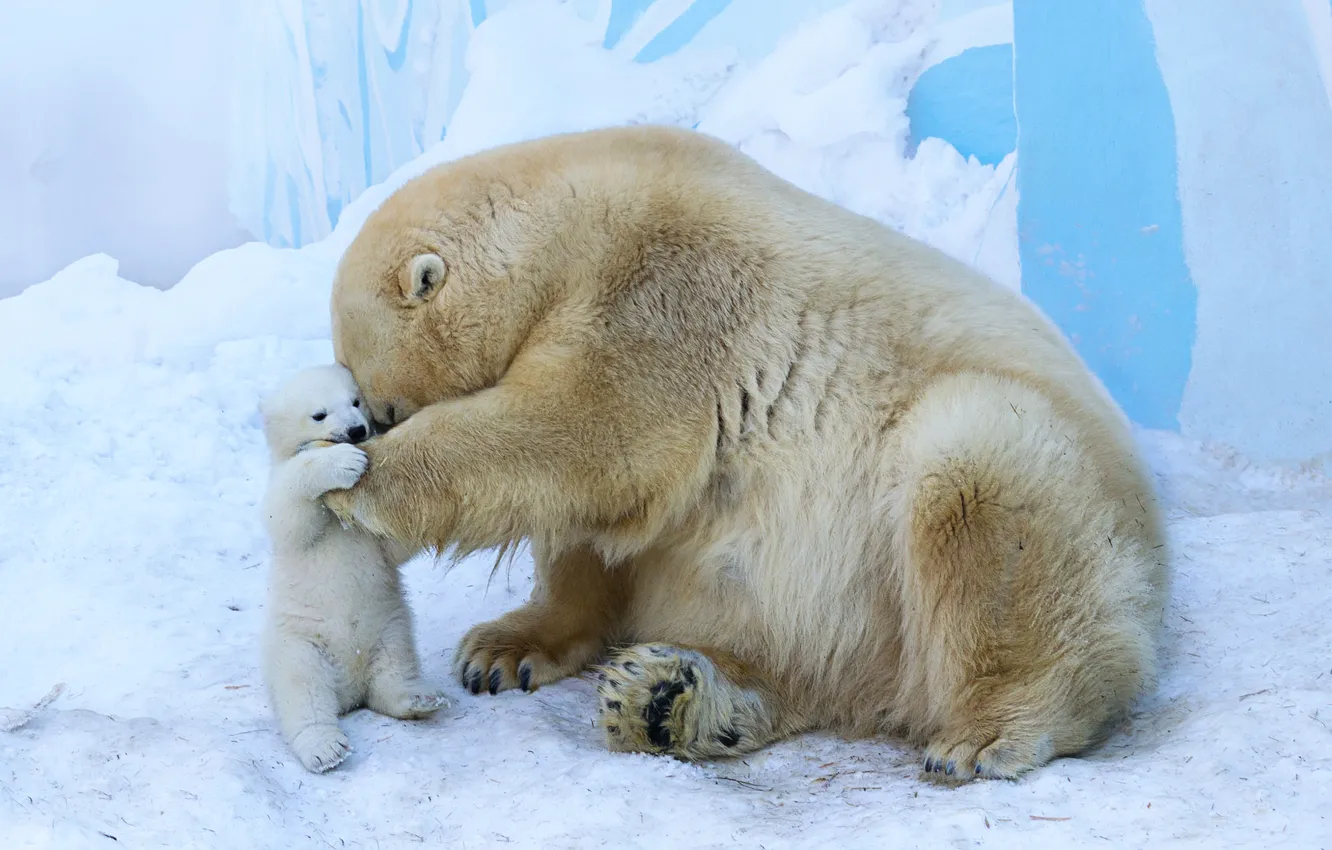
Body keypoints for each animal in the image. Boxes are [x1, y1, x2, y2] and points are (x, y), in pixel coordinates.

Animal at [258, 363, 449, 773]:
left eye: (356, 401)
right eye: (319, 414)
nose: (358, 431)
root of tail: (350, 692)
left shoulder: (371, 540)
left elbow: (392, 548)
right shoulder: (283, 491)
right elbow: (288, 515)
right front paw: (344, 462)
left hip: (389, 627)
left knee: (394, 667)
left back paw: (419, 698)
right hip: (300, 643)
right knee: (303, 690)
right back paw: (325, 748)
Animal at [321, 124, 1169, 783]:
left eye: (379, 403)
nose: (366, 425)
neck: (571, 222)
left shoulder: (668, 293)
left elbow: (583, 433)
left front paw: (355, 486)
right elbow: (598, 524)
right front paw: (504, 649)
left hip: (1038, 488)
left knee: (979, 480)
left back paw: (989, 731)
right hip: (838, 621)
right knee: (792, 660)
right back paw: (668, 701)